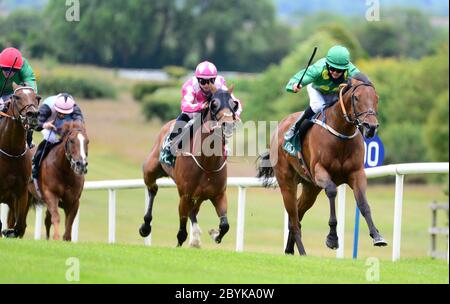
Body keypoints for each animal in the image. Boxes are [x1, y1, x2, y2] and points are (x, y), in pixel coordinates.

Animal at [0, 83, 40, 238]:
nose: (33, 115)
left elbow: (20, 226)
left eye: (37, 97)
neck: (11, 151)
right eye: (16, 97)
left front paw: (9, 232)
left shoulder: (21, 192)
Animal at [140, 84, 239, 248]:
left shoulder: (218, 195)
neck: (207, 162)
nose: (228, 124)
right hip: (150, 170)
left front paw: (215, 234)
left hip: (198, 197)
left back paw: (196, 238)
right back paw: (145, 226)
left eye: (234, 104)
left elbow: (225, 225)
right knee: (152, 189)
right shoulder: (185, 196)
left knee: (194, 211)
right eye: (213, 104)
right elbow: (181, 232)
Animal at [256, 75, 386, 255]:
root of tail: (278, 129)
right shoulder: (320, 172)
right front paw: (332, 238)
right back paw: (302, 251)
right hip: (287, 182)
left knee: (297, 213)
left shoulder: (356, 173)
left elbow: (363, 204)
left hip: (311, 188)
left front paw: (377, 236)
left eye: (376, 98)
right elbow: (331, 191)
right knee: (294, 219)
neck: (341, 134)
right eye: (356, 98)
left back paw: (290, 250)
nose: (371, 126)